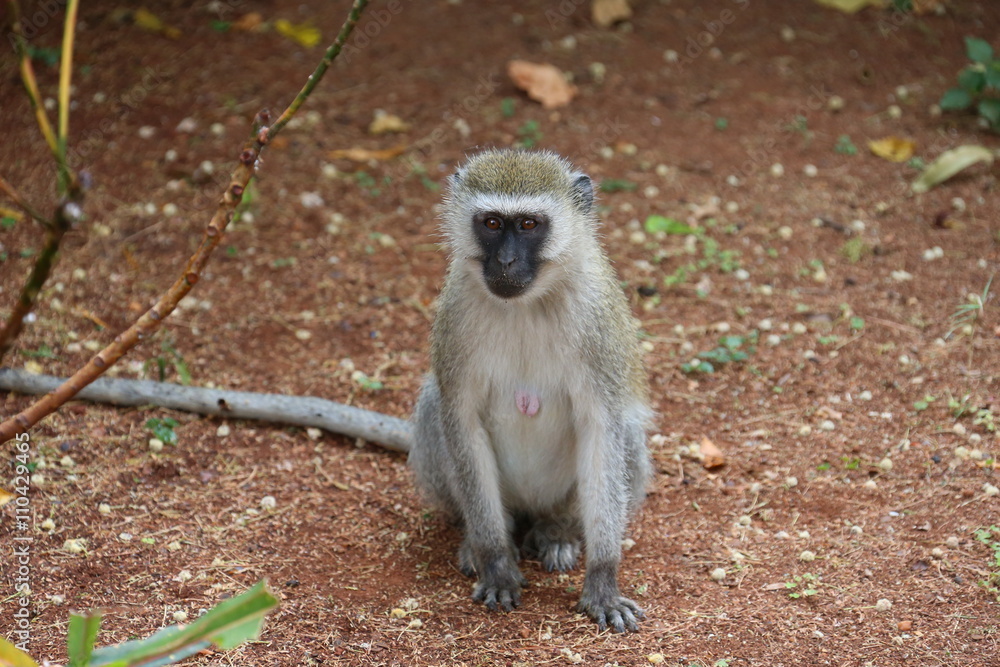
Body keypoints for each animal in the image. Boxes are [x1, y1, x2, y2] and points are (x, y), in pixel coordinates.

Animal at [409, 148, 652, 633]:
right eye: (491, 223)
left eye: (527, 225)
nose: (504, 262)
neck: (527, 303)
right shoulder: (457, 310)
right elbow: (460, 418)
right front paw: (496, 562)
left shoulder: (595, 317)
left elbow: (602, 427)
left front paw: (603, 581)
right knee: (434, 406)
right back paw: (477, 542)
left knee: (625, 430)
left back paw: (558, 531)